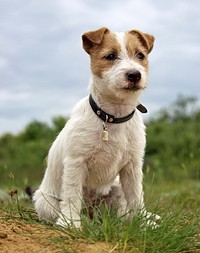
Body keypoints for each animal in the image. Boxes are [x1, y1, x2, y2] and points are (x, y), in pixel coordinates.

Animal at [33, 26, 156, 228]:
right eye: (110, 56)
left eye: (140, 55)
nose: (134, 75)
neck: (113, 117)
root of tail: (93, 214)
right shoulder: (76, 163)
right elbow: (72, 196)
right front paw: (70, 223)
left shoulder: (132, 166)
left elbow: (136, 196)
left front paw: (144, 223)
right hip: (45, 201)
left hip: (117, 187)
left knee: (123, 210)